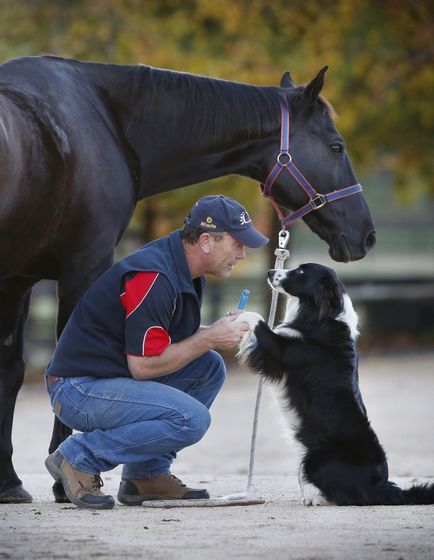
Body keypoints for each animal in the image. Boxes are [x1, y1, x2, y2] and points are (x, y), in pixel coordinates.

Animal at [0, 55, 374, 504]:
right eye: (336, 146)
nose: (366, 235)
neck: (105, 118)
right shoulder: (82, 264)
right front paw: (60, 482)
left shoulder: (17, 277)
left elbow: (10, 370)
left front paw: (8, 481)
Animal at [237, 264, 434, 506]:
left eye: (301, 273)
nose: (270, 271)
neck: (323, 315)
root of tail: (381, 485)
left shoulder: (282, 351)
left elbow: (259, 322)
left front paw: (239, 316)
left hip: (315, 460)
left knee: (349, 496)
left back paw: (317, 499)